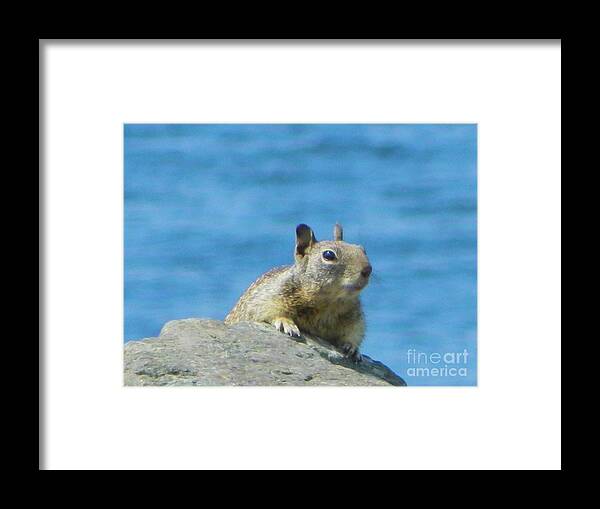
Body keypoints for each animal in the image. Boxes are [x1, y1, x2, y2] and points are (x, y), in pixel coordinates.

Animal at [224, 222, 370, 362]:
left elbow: (353, 334)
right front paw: (286, 323)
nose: (368, 269)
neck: (329, 302)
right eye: (328, 255)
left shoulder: (356, 320)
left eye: (363, 249)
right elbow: (270, 313)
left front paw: (353, 348)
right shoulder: (267, 299)